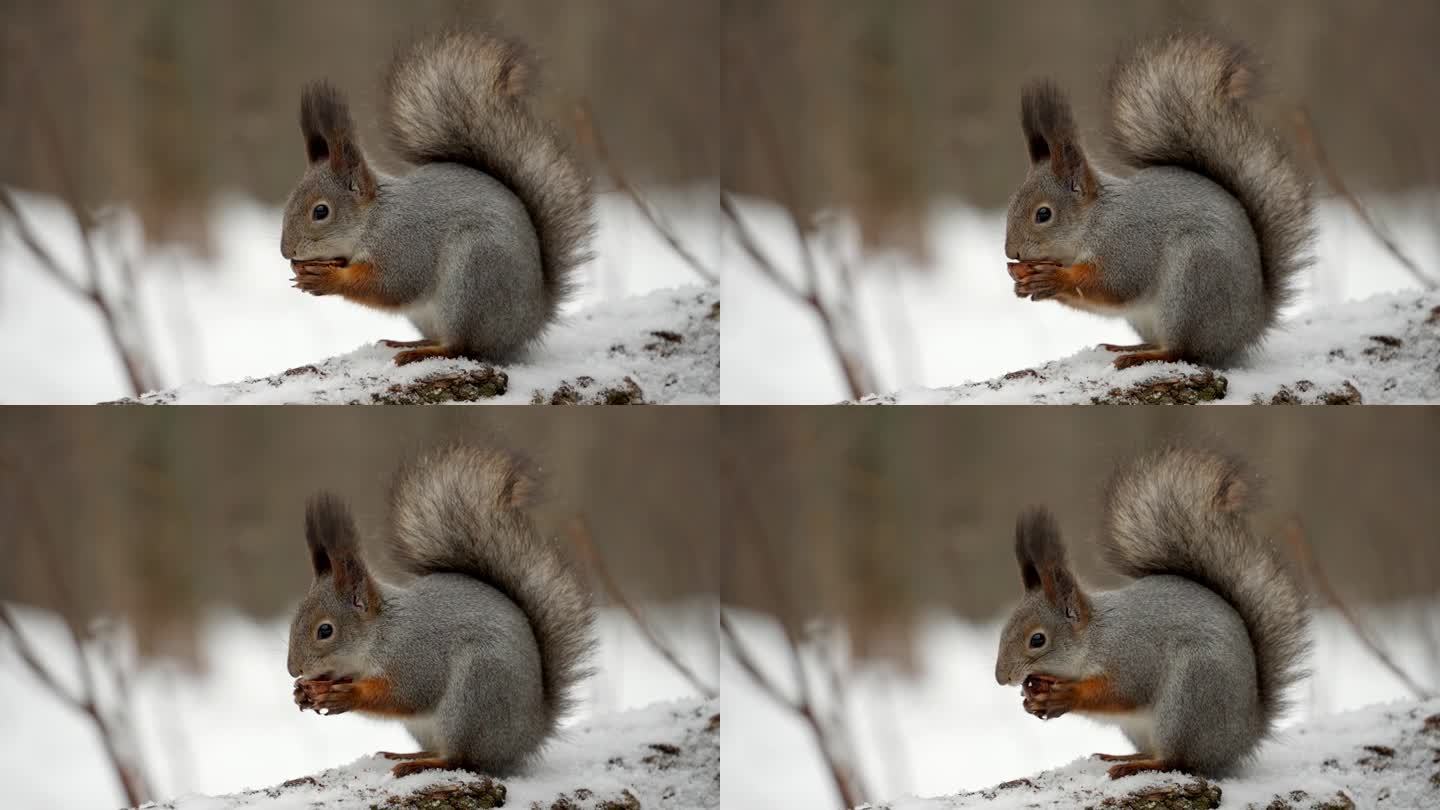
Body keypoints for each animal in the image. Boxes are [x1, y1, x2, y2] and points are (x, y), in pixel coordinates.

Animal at [277, 30, 593, 366]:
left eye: (320, 212)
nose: (286, 252)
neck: (374, 219)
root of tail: (530, 322)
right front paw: (307, 269)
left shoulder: (405, 245)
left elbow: (392, 285)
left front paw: (327, 279)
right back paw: (408, 343)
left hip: (471, 280)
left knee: (463, 347)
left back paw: (423, 352)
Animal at [286, 441, 590, 778]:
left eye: (325, 630)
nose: (293, 670)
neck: (381, 632)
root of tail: (529, 736)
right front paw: (304, 692)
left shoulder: (417, 657)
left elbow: (407, 694)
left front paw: (347, 695)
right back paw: (405, 754)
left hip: (473, 697)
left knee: (462, 760)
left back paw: (421, 764)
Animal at [996, 443, 1313, 778]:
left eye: (1037, 640)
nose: (1002, 678)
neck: (1096, 638)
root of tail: (1244, 738)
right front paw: (1032, 701)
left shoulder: (1134, 656)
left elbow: (1124, 693)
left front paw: (1068, 695)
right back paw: (1120, 757)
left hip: (1188, 700)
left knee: (1178, 761)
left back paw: (1136, 766)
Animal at [1002, 33, 1319, 367]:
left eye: (1043, 214)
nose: (1012, 252)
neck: (1095, 220)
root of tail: (1250, 327)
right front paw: (1023, 282)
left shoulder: (1128, 246)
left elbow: (1114, 285)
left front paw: (1054, 279)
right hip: (1149, 315)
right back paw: (1127, 348)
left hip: (1192, 285)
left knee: (1182, 351)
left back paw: (1141, 357)